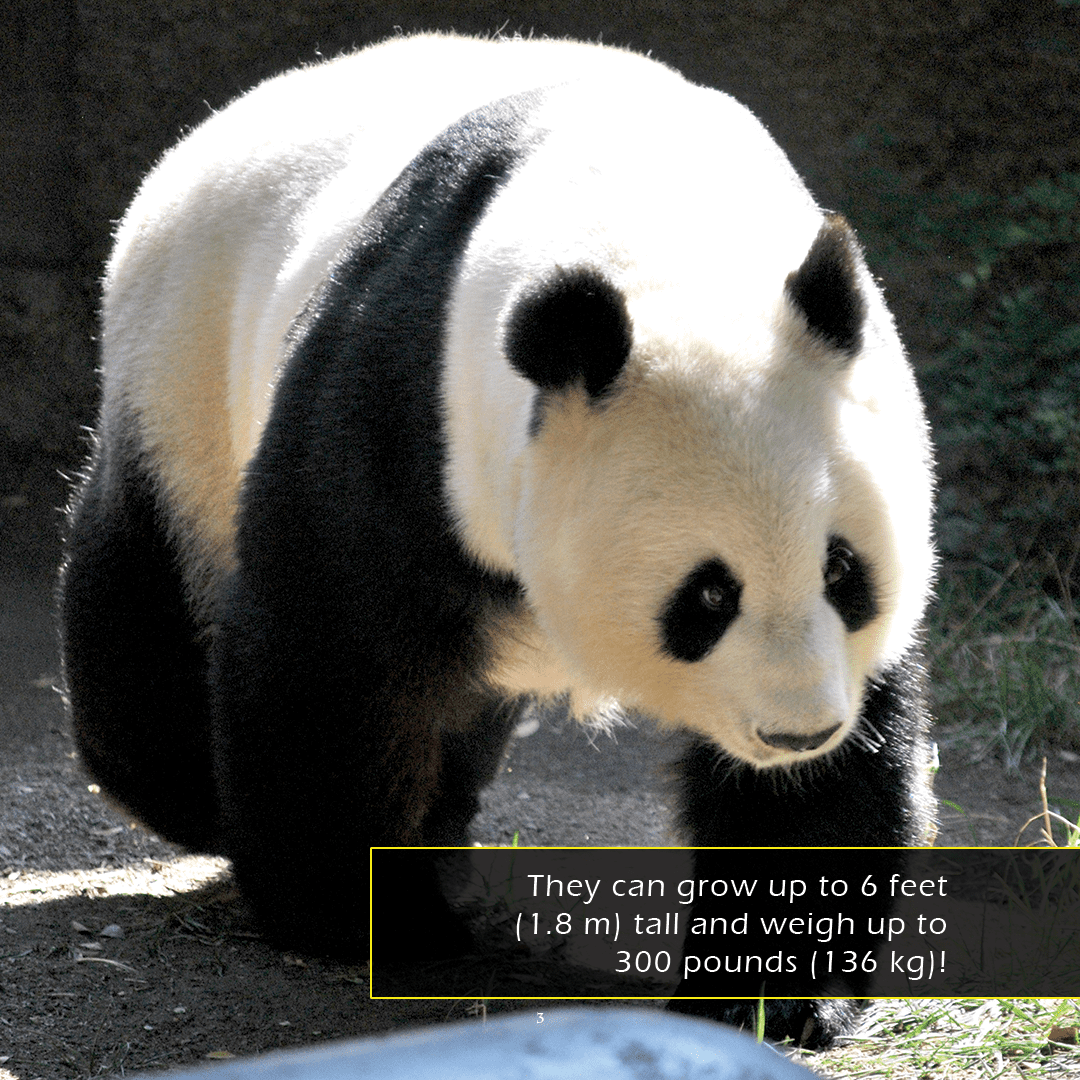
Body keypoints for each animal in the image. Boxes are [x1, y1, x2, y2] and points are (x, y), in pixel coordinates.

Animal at [59, 32, 936, 1046]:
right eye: (709, 594)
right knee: (146, 632)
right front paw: (366, 918)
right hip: (184, 386)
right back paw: (213, 800)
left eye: (843, 570)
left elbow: (824, 791)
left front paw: (767, 995)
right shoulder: (406, 401)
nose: (799, 730)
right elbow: (335, 655)